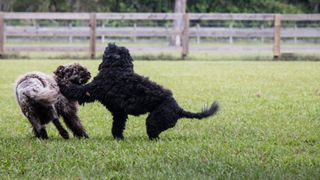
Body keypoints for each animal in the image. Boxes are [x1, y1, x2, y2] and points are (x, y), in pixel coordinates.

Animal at [58, 43, 219, 141]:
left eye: (111, 49)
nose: (110, 43)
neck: (119, 68)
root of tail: (179, 109)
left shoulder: (91, 90)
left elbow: (76, 90)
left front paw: (62, 82)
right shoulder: (119, 112)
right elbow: (117, 126)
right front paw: (118, 138)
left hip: (154, 120)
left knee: (154, 134)